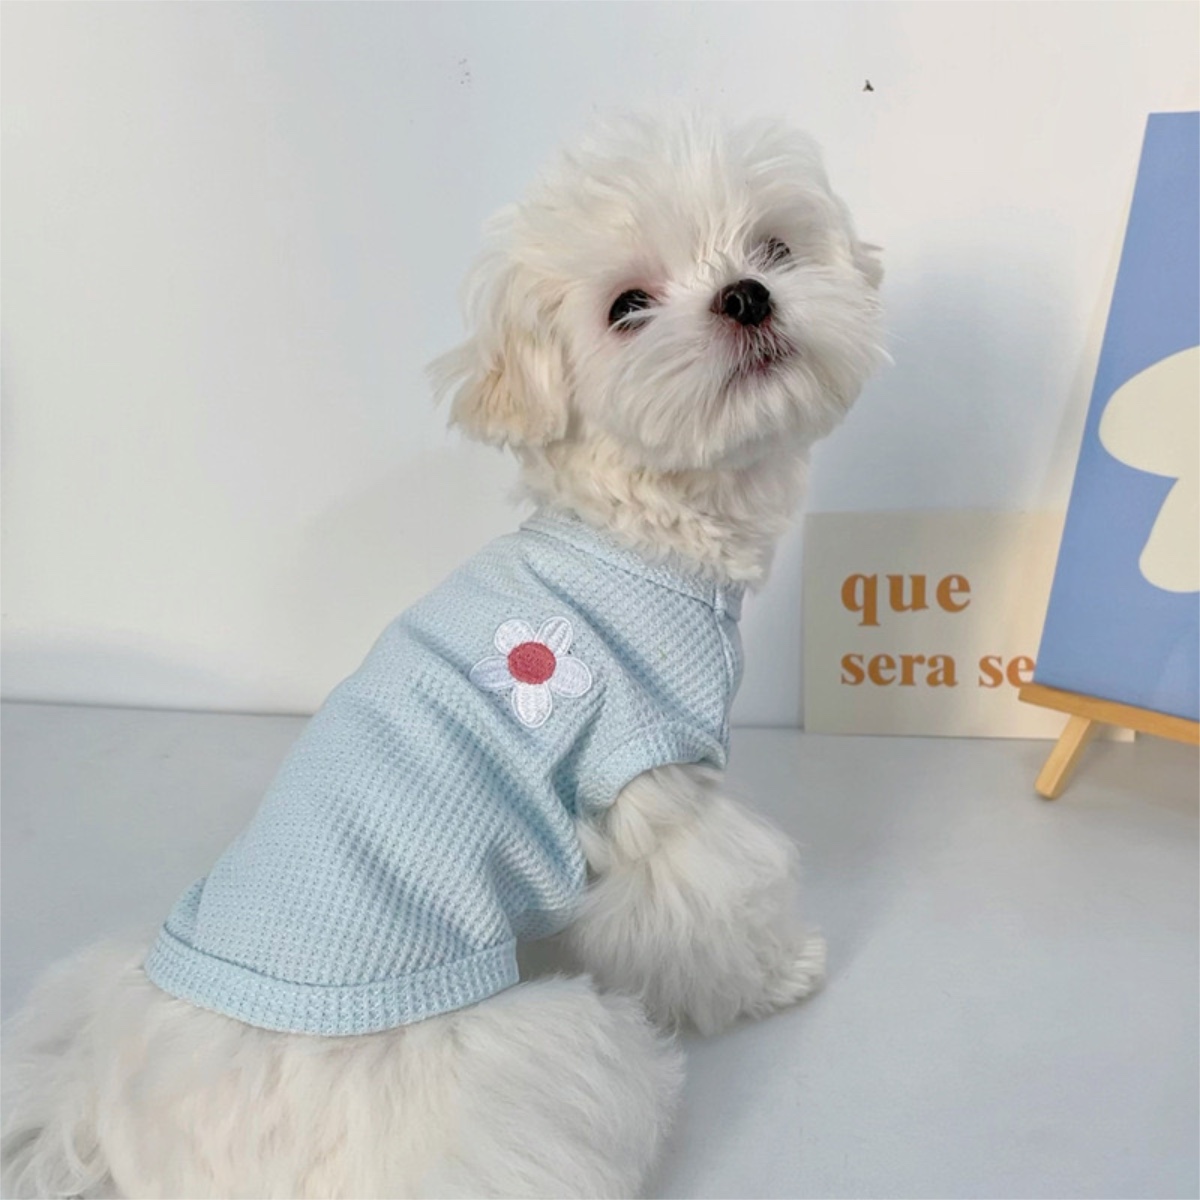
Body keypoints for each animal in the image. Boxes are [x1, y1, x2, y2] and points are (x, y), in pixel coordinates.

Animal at [0, 114, 883, 1200]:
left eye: (774, 246)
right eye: (627, 308)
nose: (747, 295)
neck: (635, 526)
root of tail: (113, 1119)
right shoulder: (651, 784)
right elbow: (716, 903)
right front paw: (778, 973)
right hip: (511, 1070)